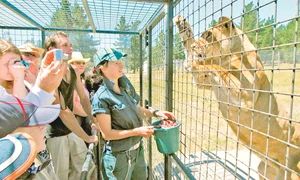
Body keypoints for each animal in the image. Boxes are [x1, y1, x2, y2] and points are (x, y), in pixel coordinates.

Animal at [173, 14, 300, 179]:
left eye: (208, 35)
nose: (195, 47)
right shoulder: (203, 82)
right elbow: (190, 46)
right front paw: (182, 25)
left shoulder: (247, 95)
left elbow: (216, 67)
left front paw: (194, 63)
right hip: (264, 168)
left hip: (289, 170)